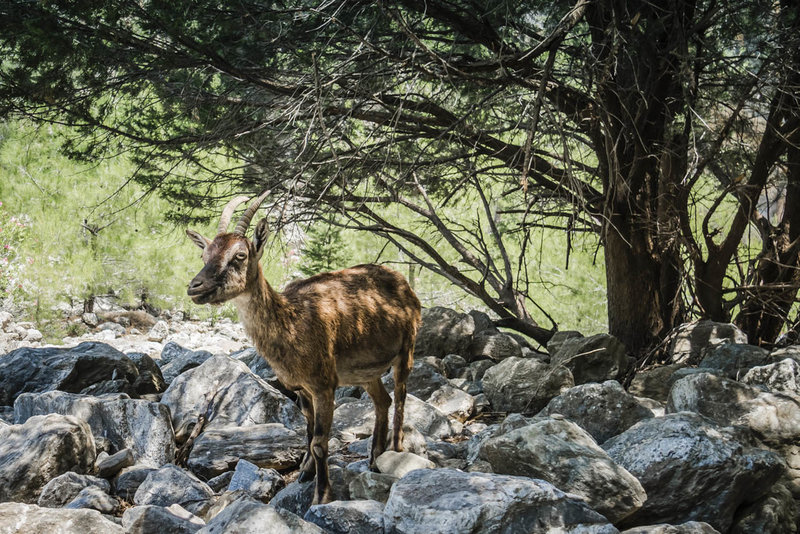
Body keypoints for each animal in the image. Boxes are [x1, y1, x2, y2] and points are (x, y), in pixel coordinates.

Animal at [185, 194, 422, 506]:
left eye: (240, 255)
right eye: (204, 255)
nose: (195, 286)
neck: (293, 323)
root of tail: (406, 286)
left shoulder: (324, 384)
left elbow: (320, 442)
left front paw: (321, 495)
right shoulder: (300, 388)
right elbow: (308, 434)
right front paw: (306, 473)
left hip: (407, 349)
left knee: (402, 396)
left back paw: (395, 450)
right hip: (365, 372)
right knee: (383, 400)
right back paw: (374, 457)